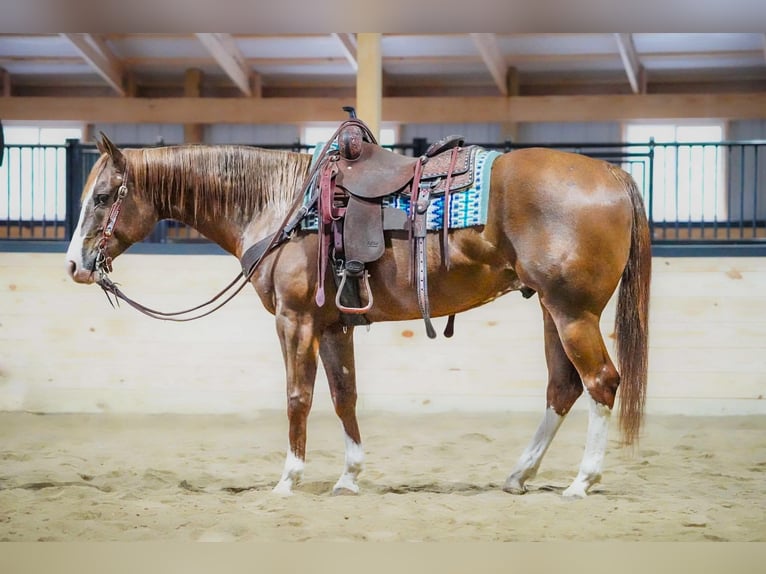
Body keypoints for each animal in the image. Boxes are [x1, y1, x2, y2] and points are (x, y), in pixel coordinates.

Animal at [65, 131, 651, 499]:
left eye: (103, 196)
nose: (74, 264)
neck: (280, 208)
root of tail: (611, 173)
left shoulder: (295, 320)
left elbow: (298, 397)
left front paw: (288, 479)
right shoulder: (332, 325)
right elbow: (343, 394)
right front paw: (348, 477)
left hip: (572, 312)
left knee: (601, 382)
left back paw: (582, 481)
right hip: (553, 311)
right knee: (563, 388)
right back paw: (519, 474)